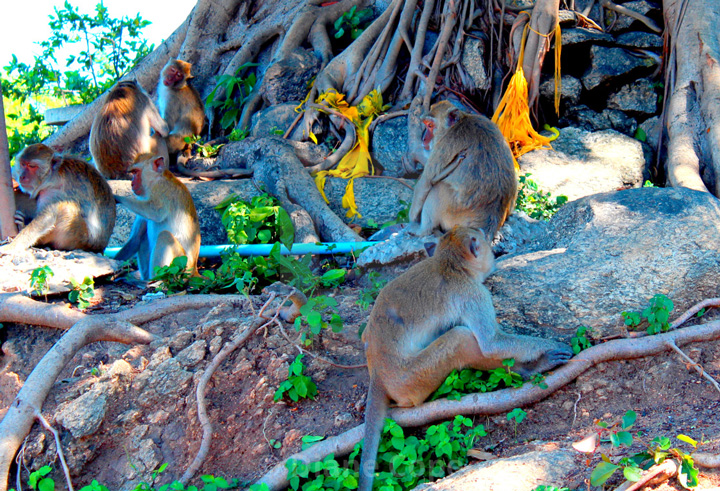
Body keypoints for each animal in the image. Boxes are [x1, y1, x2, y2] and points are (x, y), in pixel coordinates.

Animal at [357, 227, 573, 491]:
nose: (494, 251)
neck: (448, 264)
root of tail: (376, 373)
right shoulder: (472, 293)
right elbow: (491, 343)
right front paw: (550, 348)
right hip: (412, 379)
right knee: (461, 337)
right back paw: (531, 368)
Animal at [408, 101, 517, 239]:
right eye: (426, 124)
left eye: (430, 125)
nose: (424, 139)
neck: (459, 123)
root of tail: (493, 216)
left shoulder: (445, 144)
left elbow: (426, 183)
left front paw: (412, 218)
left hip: (454, 214)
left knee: (438, 188)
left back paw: (423, 230)